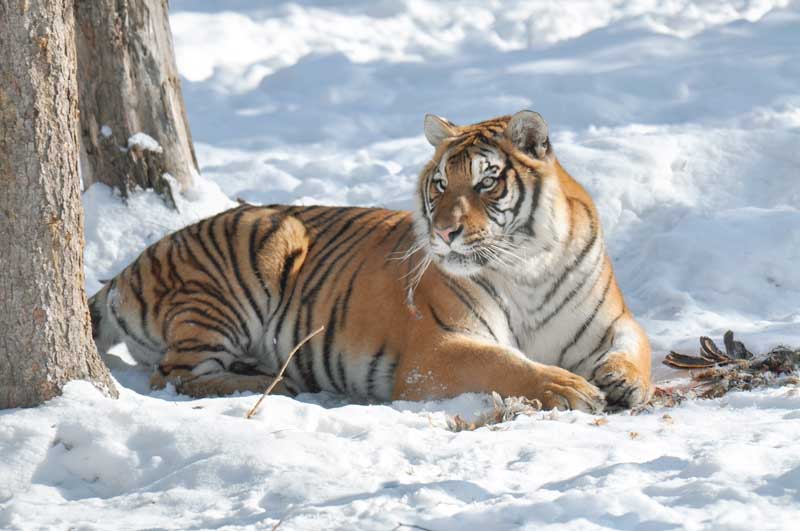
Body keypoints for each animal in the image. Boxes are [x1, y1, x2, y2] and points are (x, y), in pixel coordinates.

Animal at [89, 111, 648, 412]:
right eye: (440, 184)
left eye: (486, 181)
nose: (444, 233)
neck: (526, 266)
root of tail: (126, 269)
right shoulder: (436, 350)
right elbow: (505, 362)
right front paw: (566, 386)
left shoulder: (613, 321)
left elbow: (635, 347)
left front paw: (624, 381)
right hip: (259, 248)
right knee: (174, 376)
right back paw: (275, 382)